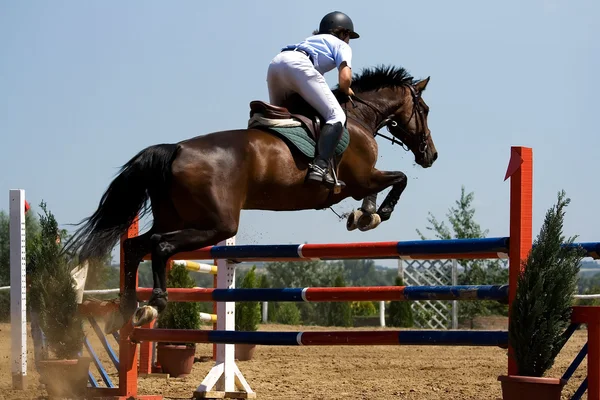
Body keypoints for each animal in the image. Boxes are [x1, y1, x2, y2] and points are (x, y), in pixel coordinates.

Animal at [65, 65, 438, 332]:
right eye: (425, 109)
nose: (430, 155)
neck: (358, 118)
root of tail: (175, 150)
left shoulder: (360, 182)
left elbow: (379, 188)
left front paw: (364, 216)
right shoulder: (358, 179)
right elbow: (398, 180)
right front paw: (377, 214)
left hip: (174, 217)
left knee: (135, 246)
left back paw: (127, 309)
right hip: (216, 224)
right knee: (161, 246)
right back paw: (153, 305)